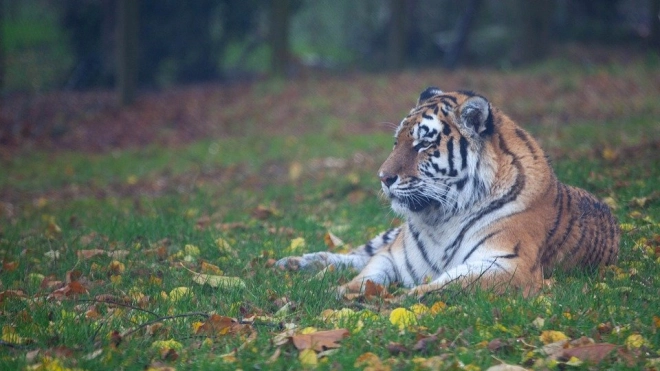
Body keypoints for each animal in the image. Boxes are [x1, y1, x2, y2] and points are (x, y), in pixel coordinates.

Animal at [276, 88, 620, 300]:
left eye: (423, 144)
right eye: (396, 142)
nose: (383, 178)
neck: (440, 217)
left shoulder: (509, 264)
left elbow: (449, 284)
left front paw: (399, 300)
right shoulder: (394, 255)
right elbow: (366, 274)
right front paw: (340, 291)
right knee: (357, 253)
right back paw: (296, 264)